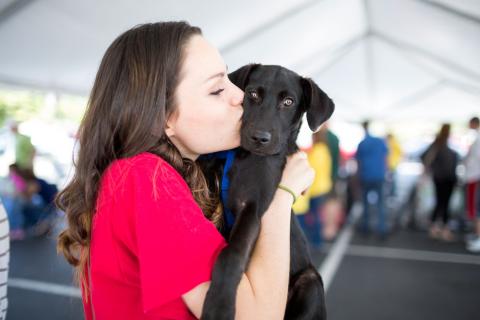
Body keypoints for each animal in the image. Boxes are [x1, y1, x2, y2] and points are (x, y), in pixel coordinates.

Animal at [199, 63, 334, 318]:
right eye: (252, 94)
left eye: (289, 102)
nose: (259, 138)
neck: (243, 156)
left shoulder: (252, 208)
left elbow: (231, 254)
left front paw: (219, 305)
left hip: (310, 281)